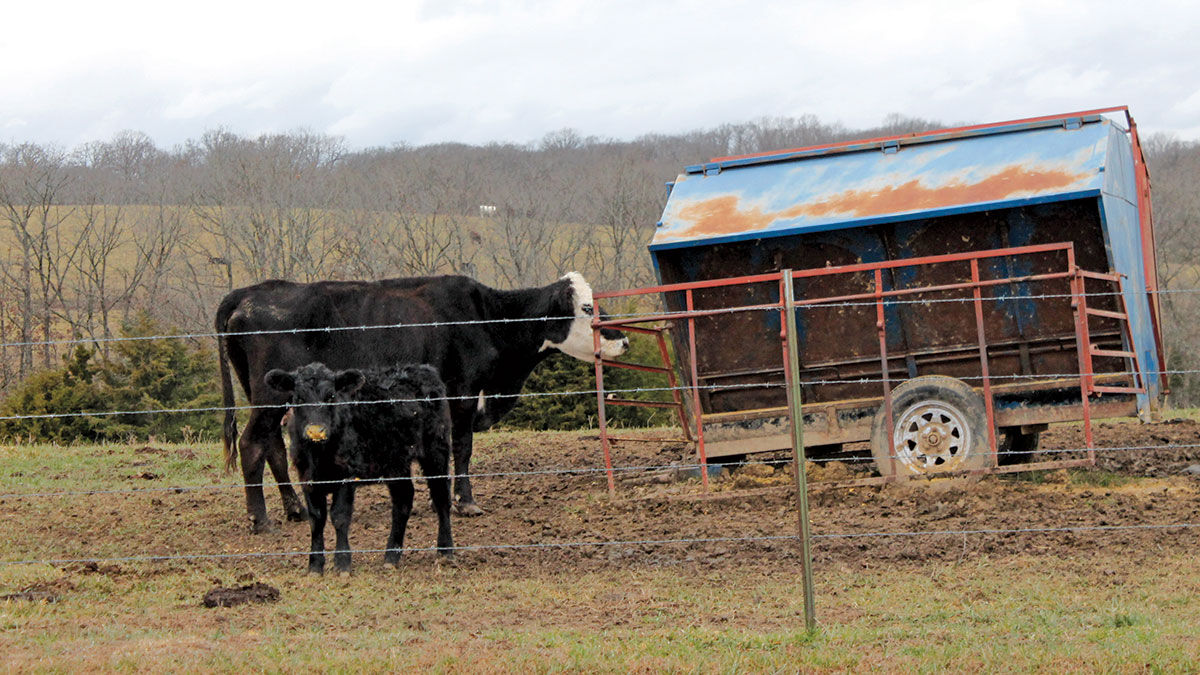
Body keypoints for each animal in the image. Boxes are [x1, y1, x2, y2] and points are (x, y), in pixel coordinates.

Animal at [216, 271, 628, 530]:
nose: (623, 339)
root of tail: (249, 293)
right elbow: (462, 447)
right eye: (587, 308)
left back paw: (295, 509)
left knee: (273, 446)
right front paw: (465, 501)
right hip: (269, 398)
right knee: (252, 444)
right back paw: (260, 520)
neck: (484, 319)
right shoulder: (462, 393)